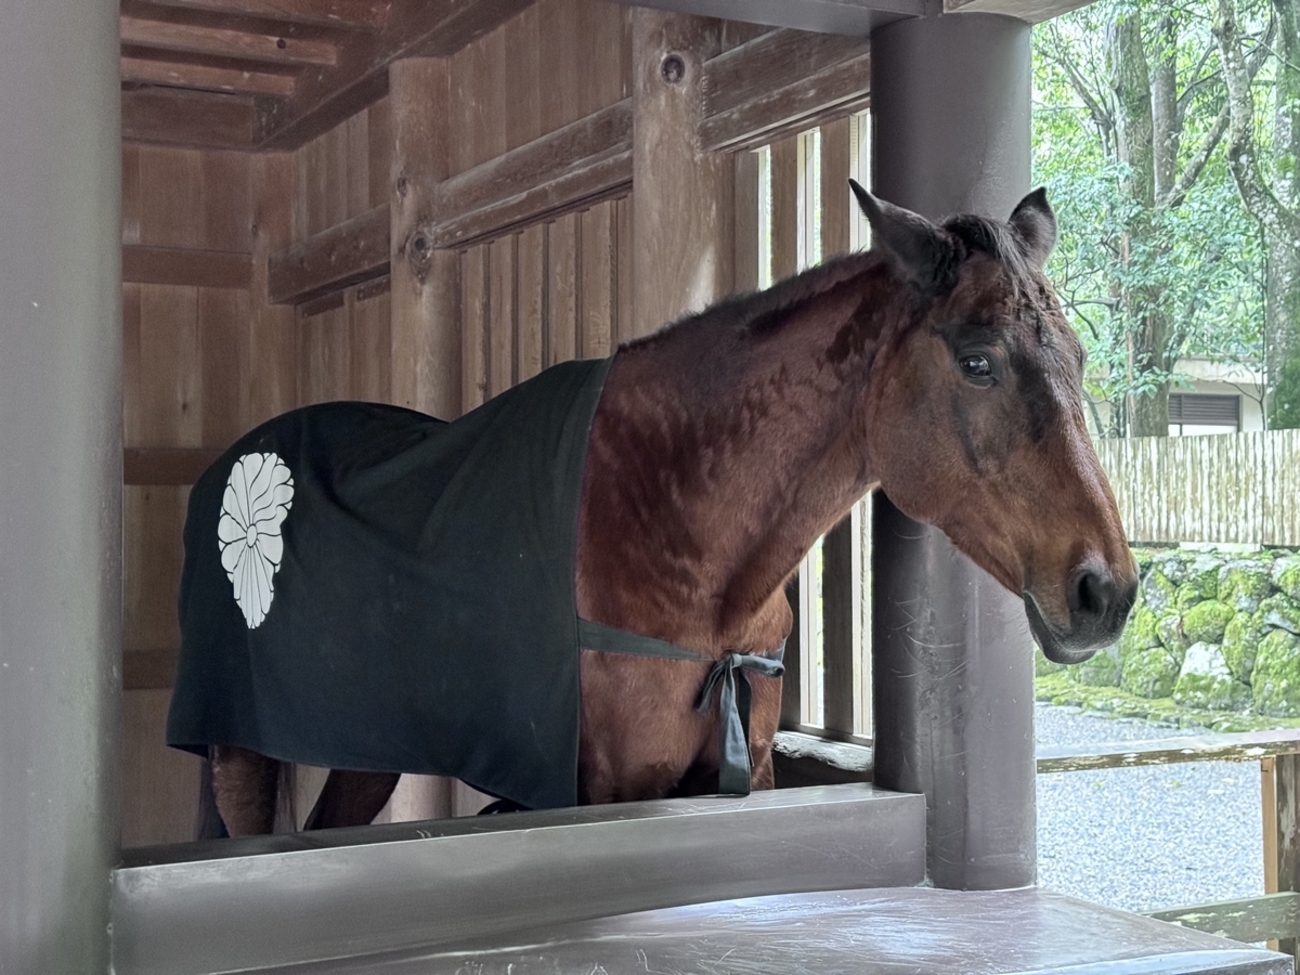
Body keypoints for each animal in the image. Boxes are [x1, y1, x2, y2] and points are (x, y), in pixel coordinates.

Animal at [174, 182, 1137, 837]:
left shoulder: (742, 775)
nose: (1107, 589)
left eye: (1082, 356)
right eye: (978, 361)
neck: (672, 525)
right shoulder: (598, 789)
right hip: (239, 752)